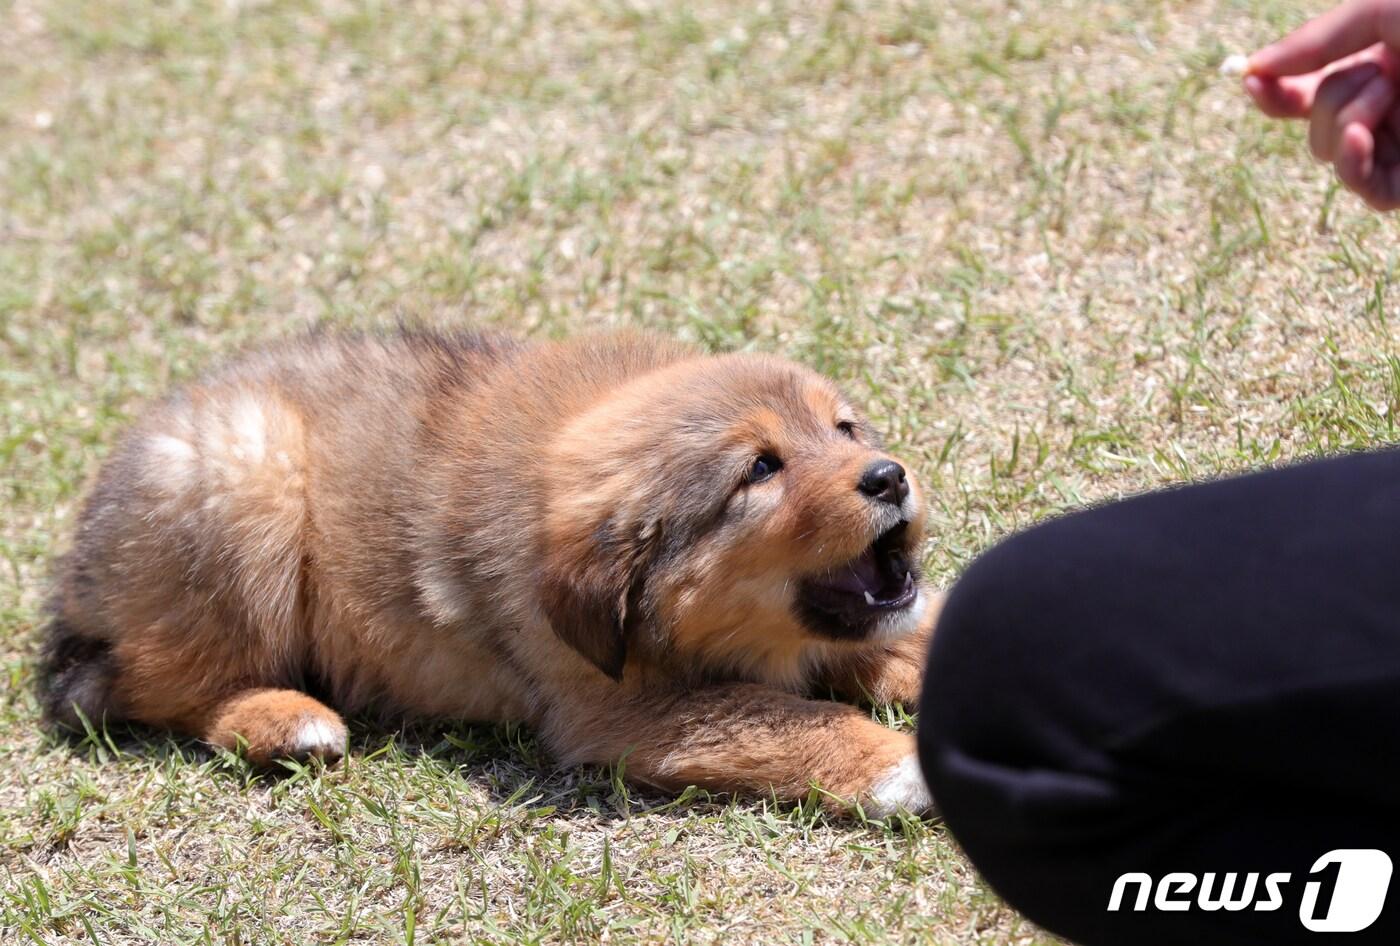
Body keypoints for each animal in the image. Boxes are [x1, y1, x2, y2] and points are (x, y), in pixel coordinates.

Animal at [40, 330, 940, 811]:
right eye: (759, 469)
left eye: (845, 429)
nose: (888, 477)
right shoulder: (615, 712)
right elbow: (790, 716)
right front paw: (903, 766)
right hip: (248, 476)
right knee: (156, 683)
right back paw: (285, 720)